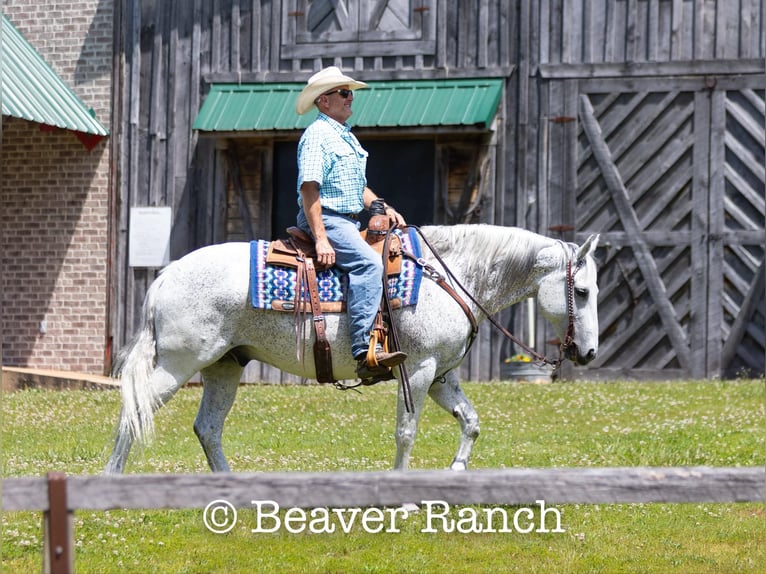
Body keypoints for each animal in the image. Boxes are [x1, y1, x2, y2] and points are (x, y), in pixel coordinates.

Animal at [105, 224, 599, 474]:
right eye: (584, 291)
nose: (590, 353)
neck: (448, 275)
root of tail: (167, 275)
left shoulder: (442, 374)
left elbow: (471, 421)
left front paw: (457, 470)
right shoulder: (417, 370)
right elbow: (406, 431)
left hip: (224, 366)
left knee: (208, 428)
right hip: (178, 364)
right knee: (133, 415)